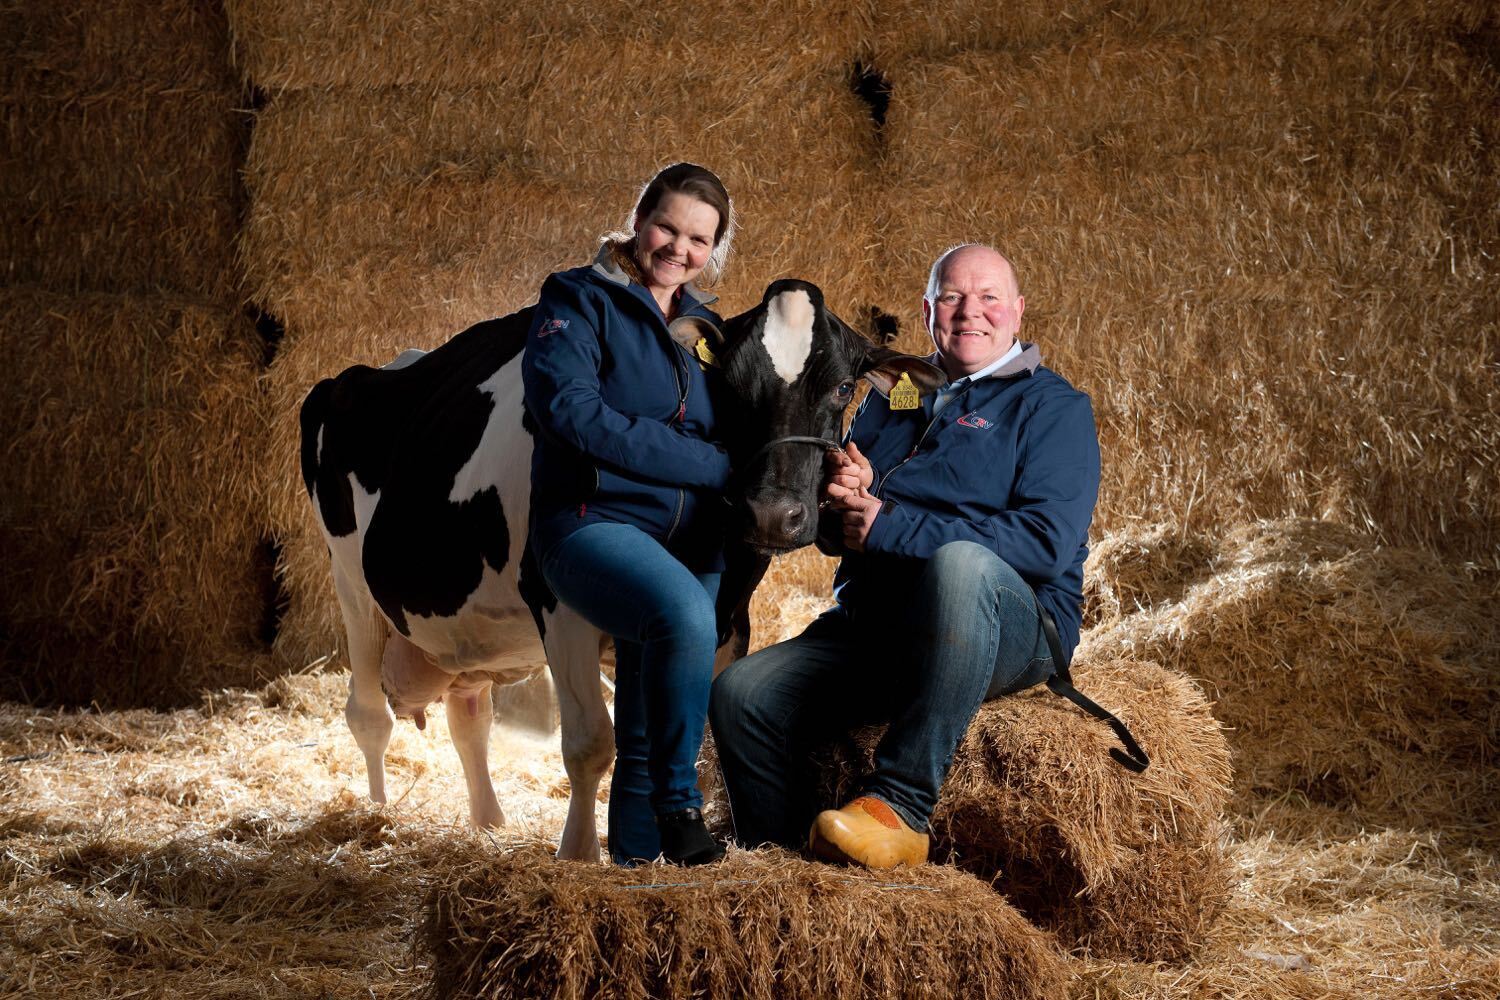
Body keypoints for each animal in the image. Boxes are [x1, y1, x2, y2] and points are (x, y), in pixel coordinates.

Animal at [298, 281, 942, 863]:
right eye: (729, 384)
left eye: (842, 387)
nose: (770, 514)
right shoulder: (559, 605)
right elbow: (589, 742)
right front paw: (580, 855)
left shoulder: (725, 618)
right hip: (351, 583)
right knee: (368, 714)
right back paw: (376, 817)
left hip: (469, 629)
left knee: (469, 716)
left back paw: (489, 824)